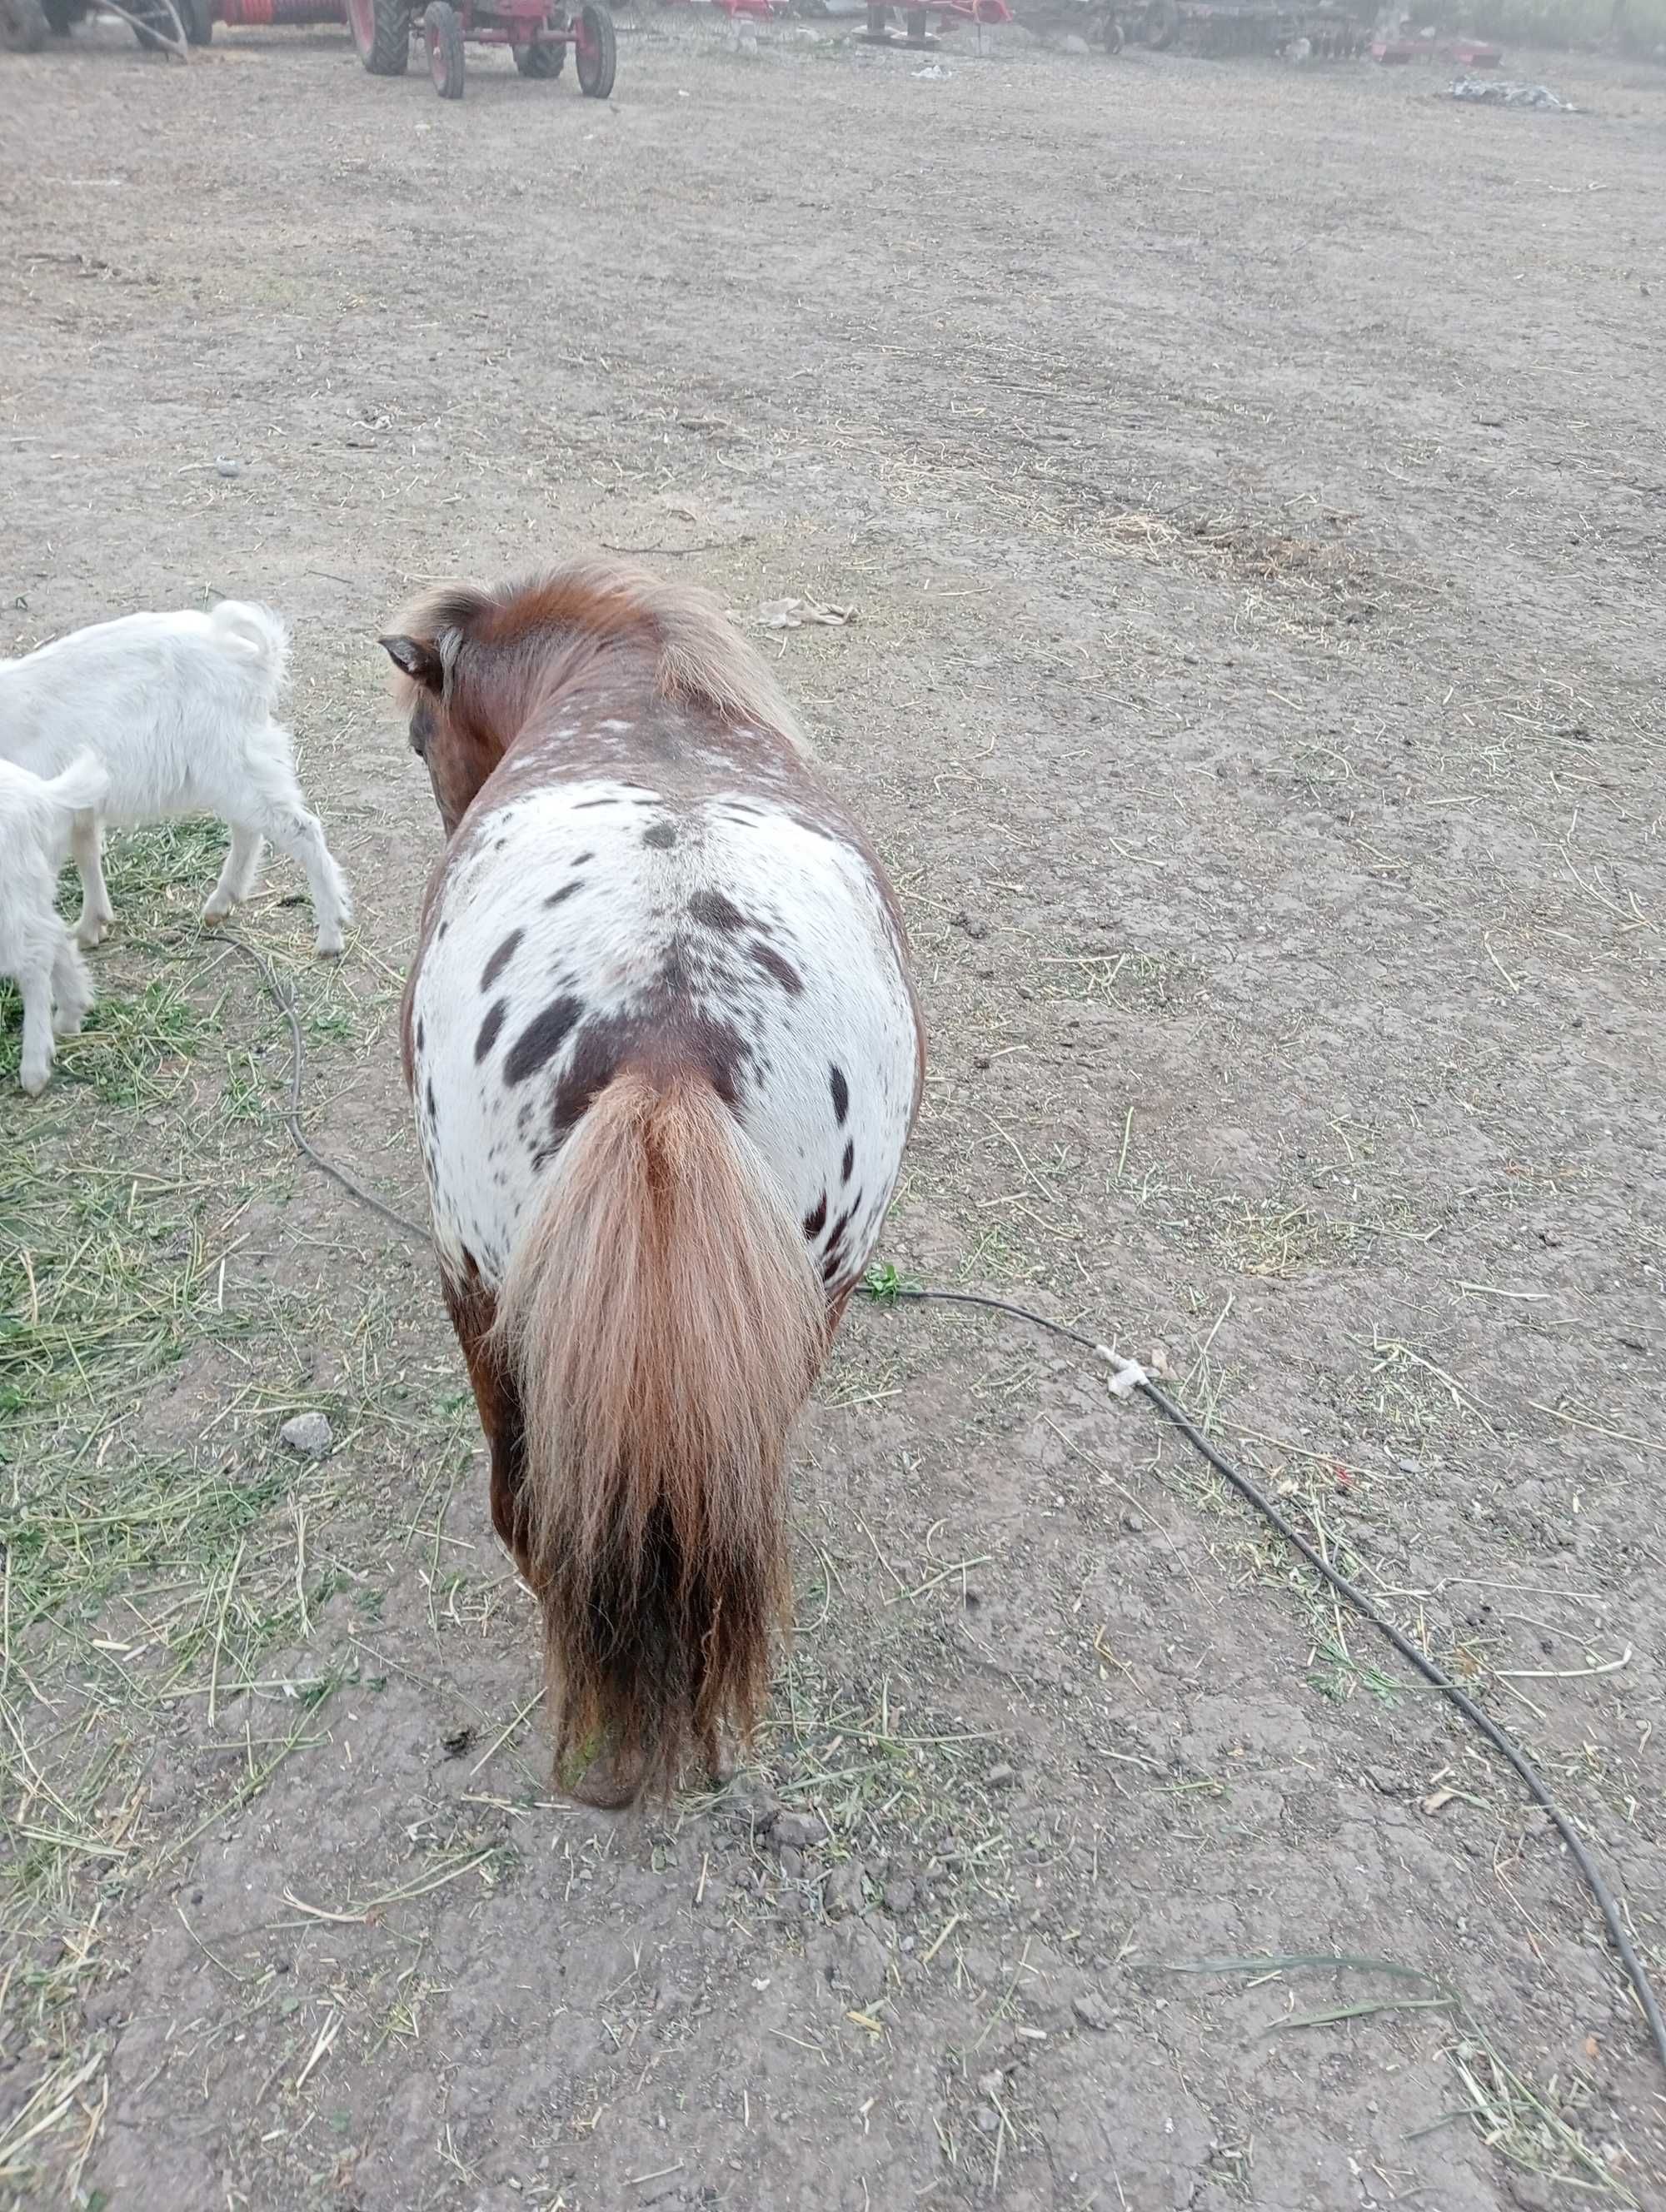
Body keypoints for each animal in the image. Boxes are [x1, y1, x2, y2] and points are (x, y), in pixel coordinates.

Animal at [0, 601, 352, 955]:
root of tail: (255, 661)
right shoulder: (76, 806)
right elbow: (86, 852)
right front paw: (90, 926)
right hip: (236, 772)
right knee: (250, 829)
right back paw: (221, 903)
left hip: (234, 763)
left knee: (301, 830)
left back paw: (330, 936)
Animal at [0, 760, 107, 1097]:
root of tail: (39, 794)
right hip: (27, 886)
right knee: (52, 932)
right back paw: (73, 1011)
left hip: (10, 892)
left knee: (34, 958)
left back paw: (34, 1068)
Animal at [389, 561, 925, 1805]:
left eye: (422, 735)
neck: (637, 678)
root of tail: (668, 1051)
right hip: (803, 1307)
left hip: (483, 1292)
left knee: (531, 1517)